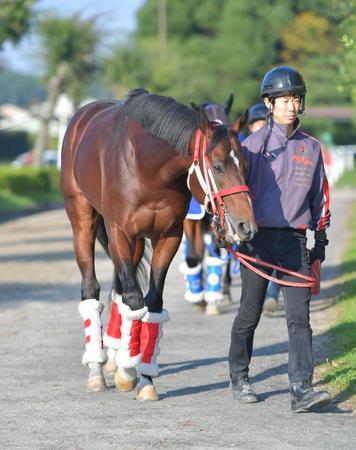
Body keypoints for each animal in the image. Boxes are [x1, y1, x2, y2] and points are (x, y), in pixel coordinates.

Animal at [60, 88, 256, 400]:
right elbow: (134, 298)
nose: (245, 225)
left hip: (137, 243)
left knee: (119, 288)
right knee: (92, 287)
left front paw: (143, 376)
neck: (146, 167)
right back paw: (97, 369)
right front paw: (129, 370)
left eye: (246, 164)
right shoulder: (119, 232)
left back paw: (115, 353)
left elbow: (151, 302)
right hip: (82, 218)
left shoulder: (168, 236)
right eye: (217, 166)